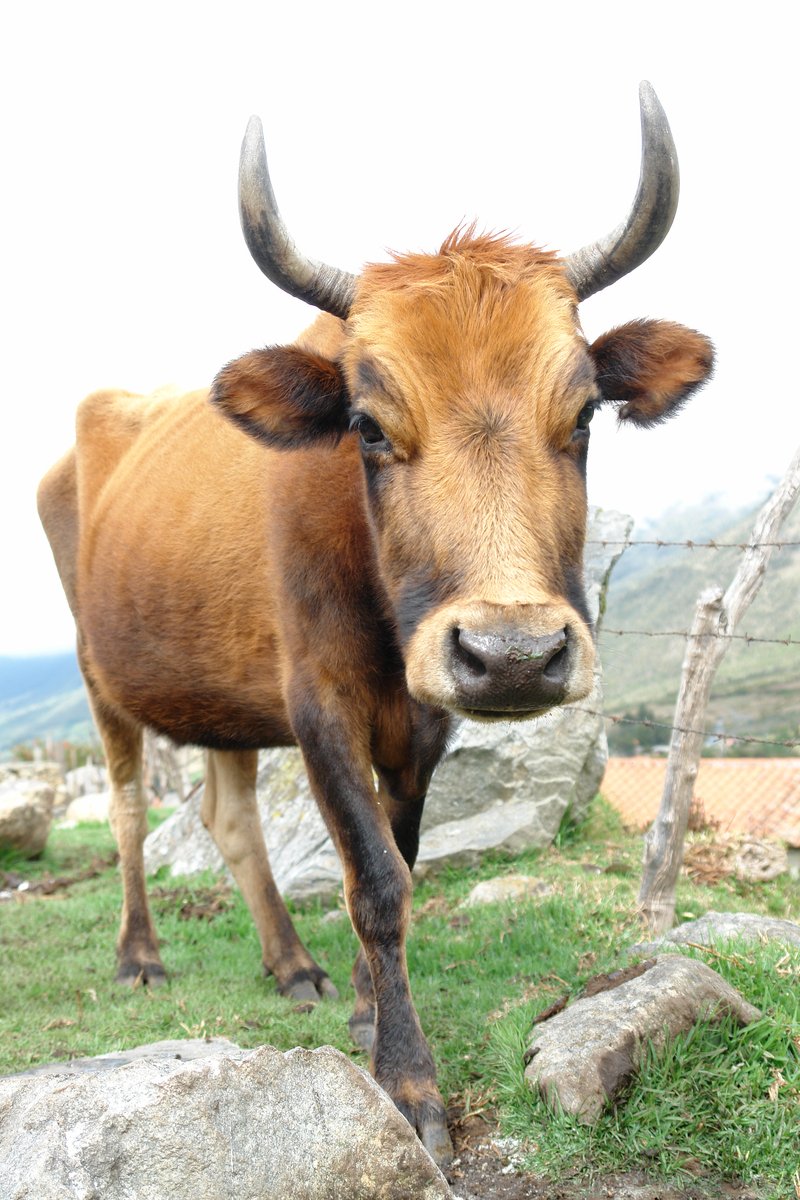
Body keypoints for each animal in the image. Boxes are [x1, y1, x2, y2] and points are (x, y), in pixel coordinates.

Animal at [37, 82, 714, 1161]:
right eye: (366, 425)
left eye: (583, 417)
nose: (514, 654)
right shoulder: (319, 702)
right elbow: (377, 882)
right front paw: (407, 1080)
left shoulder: (422, 718)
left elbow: (396, 856)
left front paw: (361, 1005)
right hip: (102, 679)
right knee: (130, 809)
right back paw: (139, 954)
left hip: (222, 697)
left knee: (231, 820)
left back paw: (290, 965)